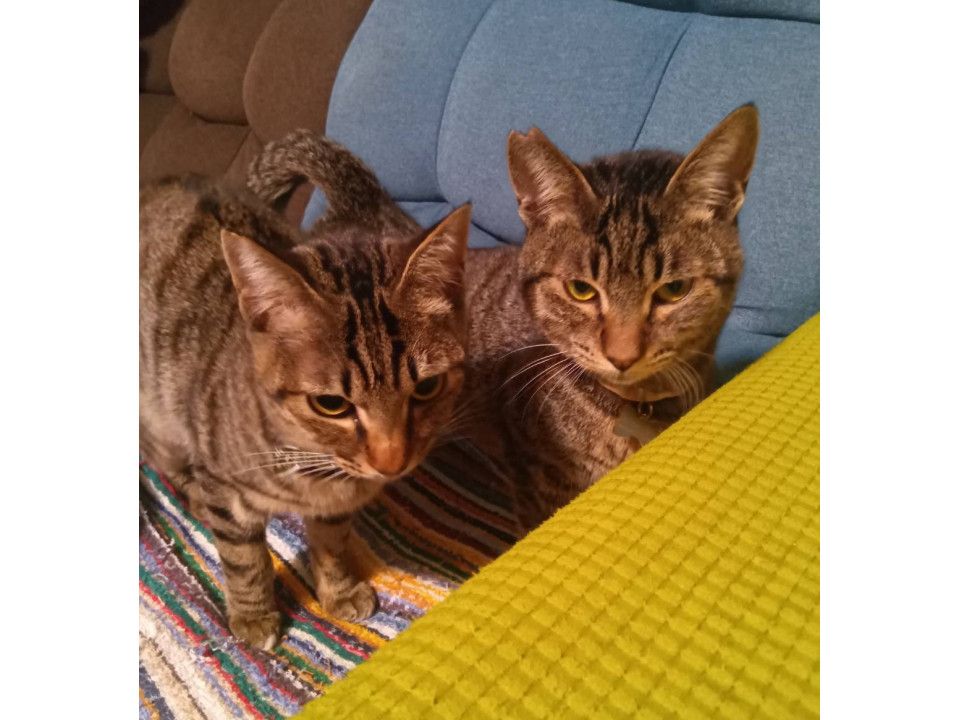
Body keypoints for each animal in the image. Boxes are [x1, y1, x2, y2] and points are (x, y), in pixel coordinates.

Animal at [139, 135, 471, 648]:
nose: (391, 462)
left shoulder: (335, 509)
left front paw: (338, 591)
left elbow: (331, 546)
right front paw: (254, 616)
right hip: (160, 414)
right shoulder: (228, 493)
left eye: (428, 387)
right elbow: (245, 560)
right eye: (331, 404)